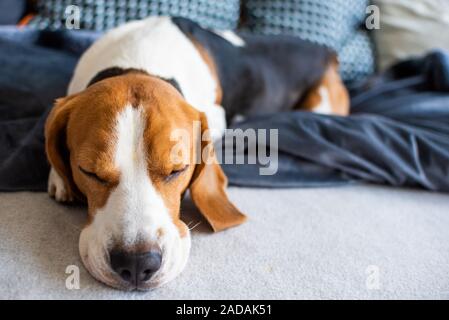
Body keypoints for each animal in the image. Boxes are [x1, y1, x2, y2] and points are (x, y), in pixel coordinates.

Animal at [44, 16, 346, 290]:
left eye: (177, 170)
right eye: (89, 171)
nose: (137, 263)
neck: (138, 60)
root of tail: (325, 52)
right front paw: (59, 178)